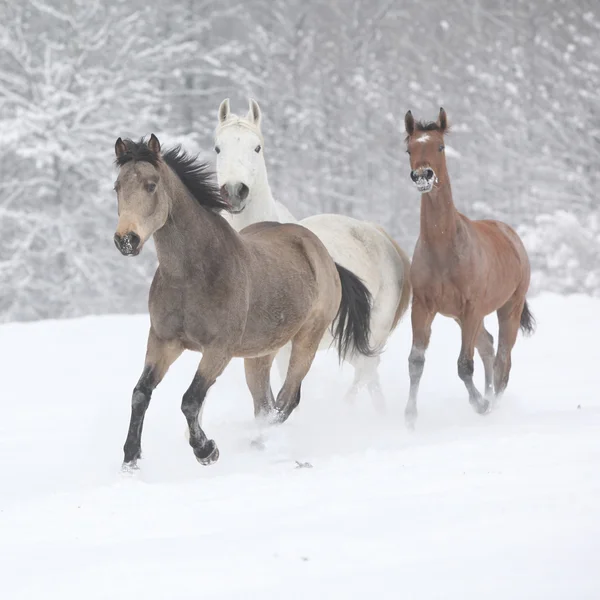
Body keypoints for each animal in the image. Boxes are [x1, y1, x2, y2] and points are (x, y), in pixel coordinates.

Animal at [112, 132, 376, 468]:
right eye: (117, 187)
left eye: (151, 185)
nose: (126, 240)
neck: (190, 275)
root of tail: (323, 255)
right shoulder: (163, 341)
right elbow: (140, 393)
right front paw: (130, 459)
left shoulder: (218, 349)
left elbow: (190, 400)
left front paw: (206, 450)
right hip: (260, 353)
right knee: (266, 404)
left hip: (307, 338)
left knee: (286, 401)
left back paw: (257, 443)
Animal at [212, 98, 412, 412]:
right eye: (218, 148)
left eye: (257, 148)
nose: (234, 191)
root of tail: (379, 234)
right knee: (369, 376)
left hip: (372, 332)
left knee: (365, 371)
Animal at [404, 108, 536, 426]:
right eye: (409, 149)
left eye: (440, 146)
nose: (422, 175)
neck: (444, 249)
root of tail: (511, 235)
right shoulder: (424, 306)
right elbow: (416, 361)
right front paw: (410, 417)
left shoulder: (472, 308)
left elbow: (464, 365)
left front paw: (480, 404)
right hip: (460, 318)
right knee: (488, 347)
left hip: (508, 309)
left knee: (502, 359)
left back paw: (493, 404)